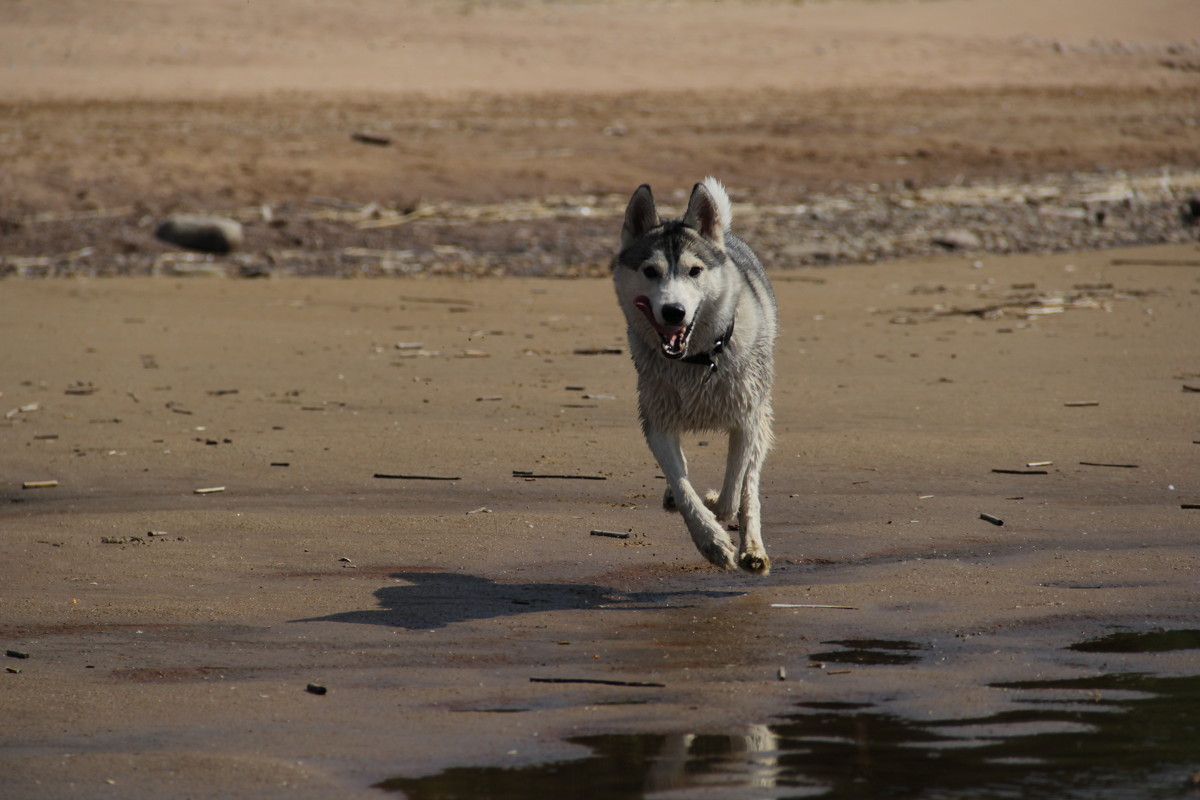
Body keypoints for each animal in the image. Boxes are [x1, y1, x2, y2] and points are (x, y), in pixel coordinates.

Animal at [609, 177, 777, 573]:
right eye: (650, 271)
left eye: (695, 271)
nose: (674, 311)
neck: (697, 362)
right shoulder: (657, 422)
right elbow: (683, 486)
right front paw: (710, 541)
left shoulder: (745, 420)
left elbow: (733, 492)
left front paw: (717, 507)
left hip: (761, 415)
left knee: (750, 484)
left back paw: (753, 549)